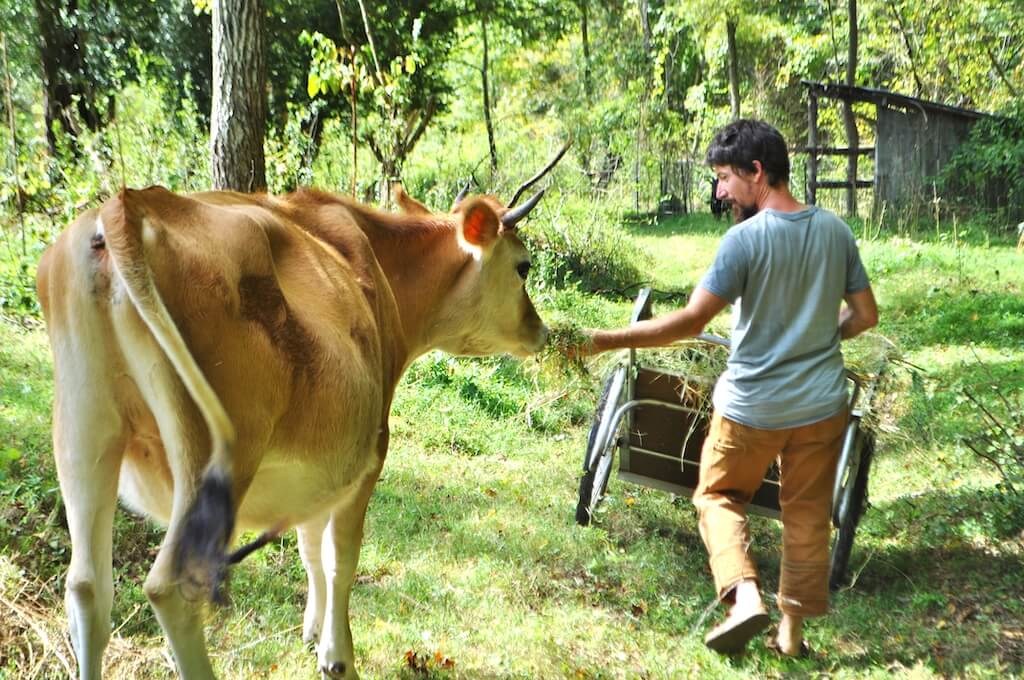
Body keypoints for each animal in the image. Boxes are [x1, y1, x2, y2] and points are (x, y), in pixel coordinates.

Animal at [36, 181, 550, 680]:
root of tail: (129, 205)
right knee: (173, 588)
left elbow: (310, 546)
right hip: (211, 453)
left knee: (87, 588)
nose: (541, 332)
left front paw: (313, 630)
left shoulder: (320, 466)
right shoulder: (370, 454)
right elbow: (341, 558)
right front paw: (337, 657)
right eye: (523, 267)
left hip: (84, 434)